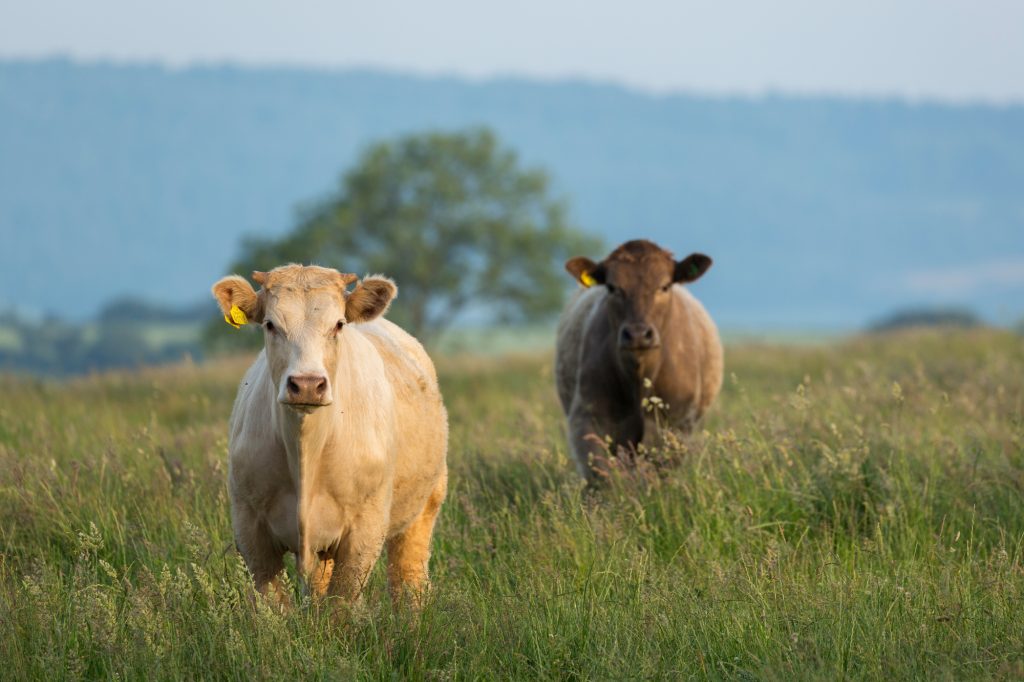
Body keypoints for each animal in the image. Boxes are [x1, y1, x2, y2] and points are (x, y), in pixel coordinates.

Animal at [211, 264, 447, 607]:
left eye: (338, 325)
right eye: (270, 324)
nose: (307, 384)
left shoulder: (364, 532)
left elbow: (341, 605)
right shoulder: (250, 530)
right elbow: (274, 607)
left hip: (426, 504)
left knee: (409, 580)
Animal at [555, 239, 723, 484]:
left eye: (664, 286)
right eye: (612, 287)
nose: (637, 334)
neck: (639, 374)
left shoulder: (676, 423)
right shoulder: (588, 416)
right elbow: (602, 472)